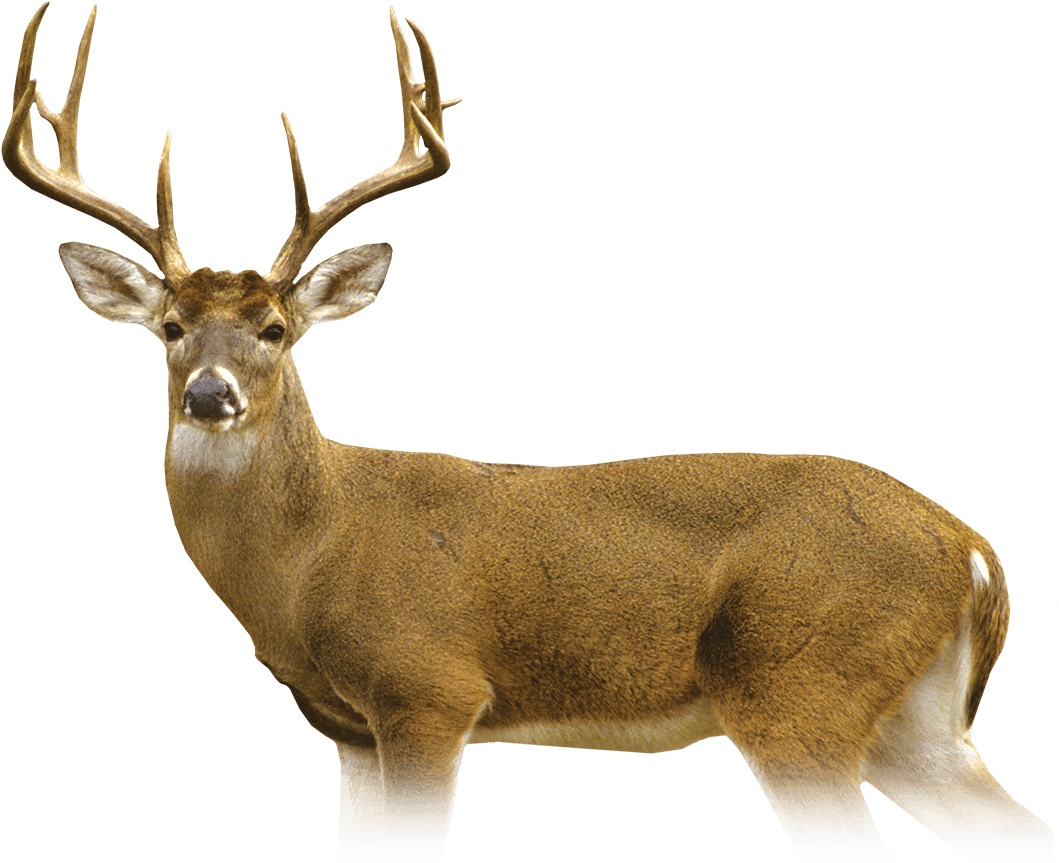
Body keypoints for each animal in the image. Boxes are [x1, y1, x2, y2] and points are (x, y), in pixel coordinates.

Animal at [5, 3, 1053, 861]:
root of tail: (971, 548)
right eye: (170, 328)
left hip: (799, 682)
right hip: (917, 719)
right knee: (1016, 826)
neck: (309, 557)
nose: (209, 395)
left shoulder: (427, 687)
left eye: (274, 328)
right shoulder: (347, 729)